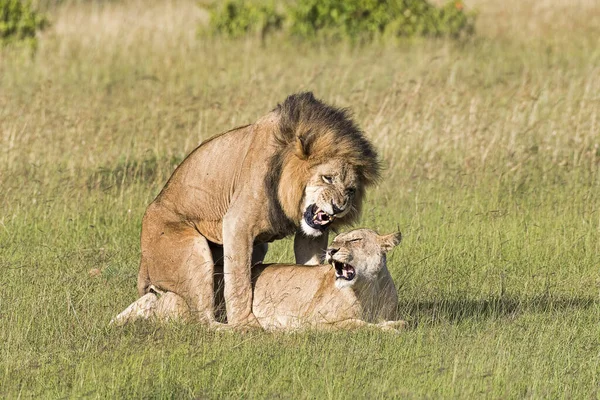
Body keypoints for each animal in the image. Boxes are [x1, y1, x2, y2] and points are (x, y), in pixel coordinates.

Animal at [113, 228, 404, 332]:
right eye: (336, 240)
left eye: (354, 239)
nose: (331, 251)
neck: (369, 289)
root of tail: (168, 292)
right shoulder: (314, 322)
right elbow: (356, 324)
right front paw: (386, 328)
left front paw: (392, 324)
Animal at [138, 92, 378, 326]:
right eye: (327, 178)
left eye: (350, 190)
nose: (338, 208)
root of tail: (143, 264)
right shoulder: (237, 224)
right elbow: (239, 282)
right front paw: (246, 323)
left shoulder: (310, 236)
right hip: (194, 251)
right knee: (203, 320)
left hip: (257, 247)